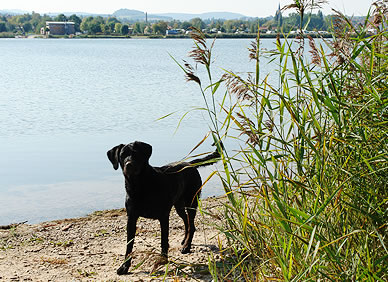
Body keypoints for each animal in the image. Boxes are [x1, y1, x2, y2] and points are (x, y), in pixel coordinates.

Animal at [107, 141, 220, 276]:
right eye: (122, 155)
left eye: (136, 154)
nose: (129, 164)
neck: (140, 186)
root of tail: (189, 164)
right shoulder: (131, 218)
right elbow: (129, 245)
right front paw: (124, 267)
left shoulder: (164, 216)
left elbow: (164, 241)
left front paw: (162, 260)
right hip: (179, 205)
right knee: (186, 221)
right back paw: (184, 240)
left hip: (191, 202)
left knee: (191, 225)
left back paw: (187, 247)